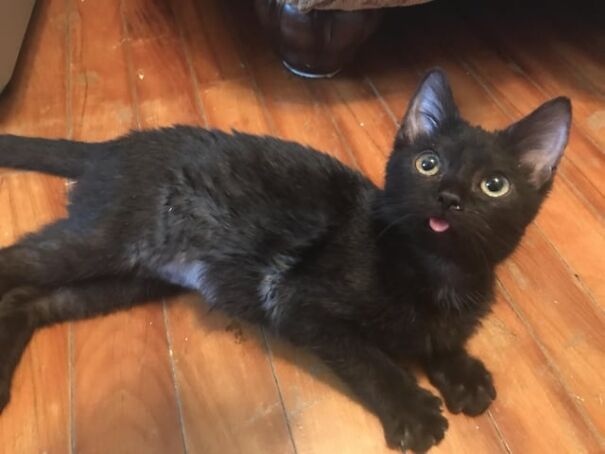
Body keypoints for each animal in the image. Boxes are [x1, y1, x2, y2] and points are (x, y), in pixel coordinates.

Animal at [0, 70, 572, 450]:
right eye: (427, 164)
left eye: (494, 186)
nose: (449, 198)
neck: (437, 272)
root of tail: (109, 149)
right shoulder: (297, 301)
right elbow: (368, 357)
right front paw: (411, 408)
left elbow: (440, 338)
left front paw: (462, 372)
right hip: (109, 240)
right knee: (16, 262)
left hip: (132, 277)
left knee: (32, 301)